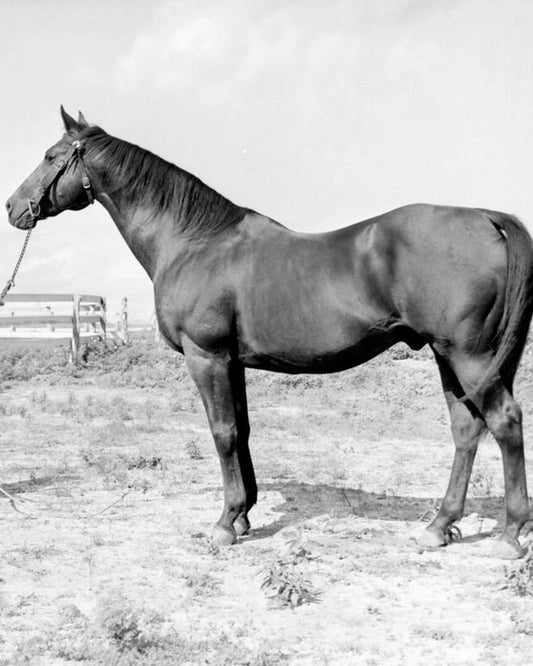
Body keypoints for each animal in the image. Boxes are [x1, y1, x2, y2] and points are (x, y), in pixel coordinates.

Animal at [6, 107, 533, 558]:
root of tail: (488, 218)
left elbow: (221, 432)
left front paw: (224, 523)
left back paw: (509, 536)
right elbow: (242, 430)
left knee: (505, 422)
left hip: (468, 357)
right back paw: (439, 527)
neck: (193, 242)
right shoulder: (232, 362)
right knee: (466, 429)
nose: (12, 207)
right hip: (448, 357)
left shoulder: (207, 357)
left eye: (51, 156)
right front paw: (243, 516)